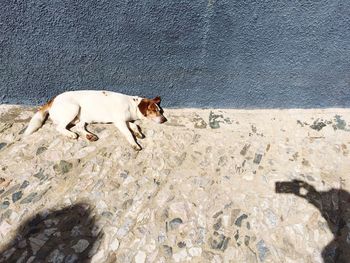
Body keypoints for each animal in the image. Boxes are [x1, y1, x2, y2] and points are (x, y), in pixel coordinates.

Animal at [24, 91, 167, 151]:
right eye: (154, 110)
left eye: (160, 110)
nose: (164, 119)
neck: (132, 104)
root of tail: (52, 100)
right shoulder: (119, 121)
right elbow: (128, 133)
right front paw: (134, 143)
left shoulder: (123, 121)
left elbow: (135, 126)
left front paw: (138, 133)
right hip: (74, 108)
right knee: (60, 127)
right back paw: (70, 134)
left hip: (82, 118)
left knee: (79, 127)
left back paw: (90, 136)